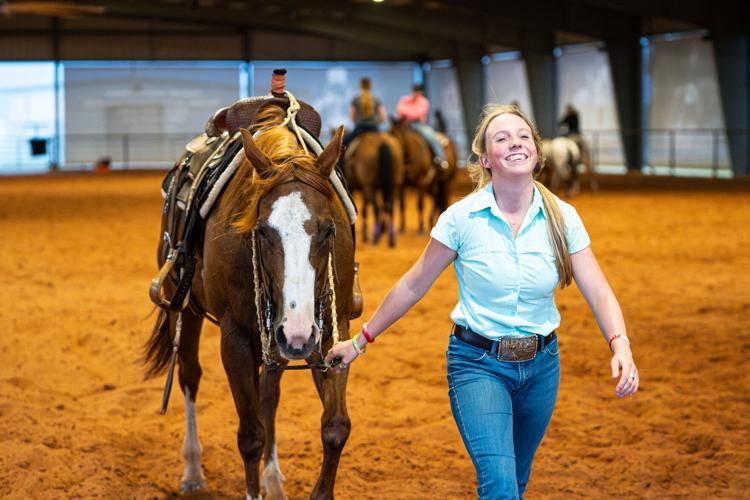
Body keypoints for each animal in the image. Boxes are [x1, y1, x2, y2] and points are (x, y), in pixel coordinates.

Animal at [145, 105, 354, 500]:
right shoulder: (237, 338)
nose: (297, 333)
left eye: (329, 229)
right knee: (190, 375)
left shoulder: (330, 333)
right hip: (187, 308)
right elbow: (250, 436)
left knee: (268, 394)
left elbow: (335, 427)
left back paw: (273, 480)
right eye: (262, 231)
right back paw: (192, 471)